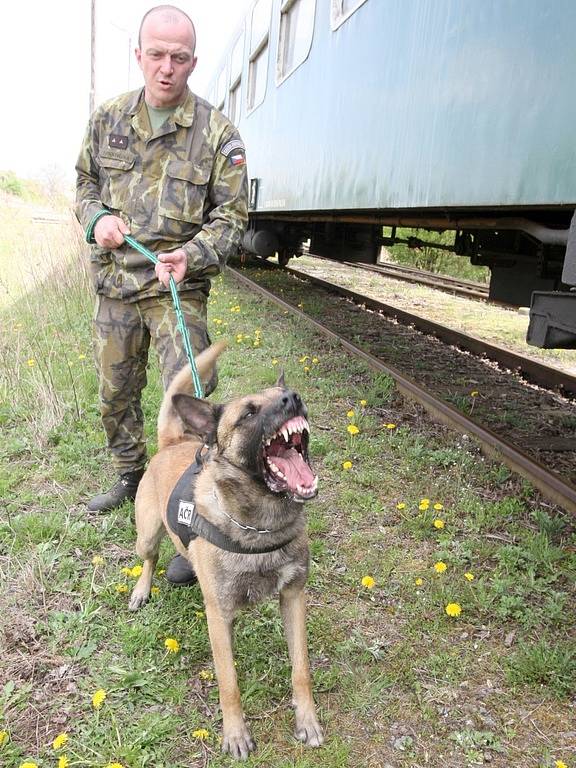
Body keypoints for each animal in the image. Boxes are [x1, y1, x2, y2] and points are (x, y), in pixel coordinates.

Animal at [127, 344, 324, 760]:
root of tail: (173, 443)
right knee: (149, 558)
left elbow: (301, 670)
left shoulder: (293, 597)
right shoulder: (218, 617)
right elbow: (228, 682)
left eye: (283, 394)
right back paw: (141, 590)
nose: (292, 397)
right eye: (248, 413)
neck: (261, 526)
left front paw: (307, 720)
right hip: (147, 534)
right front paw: (235, 734)